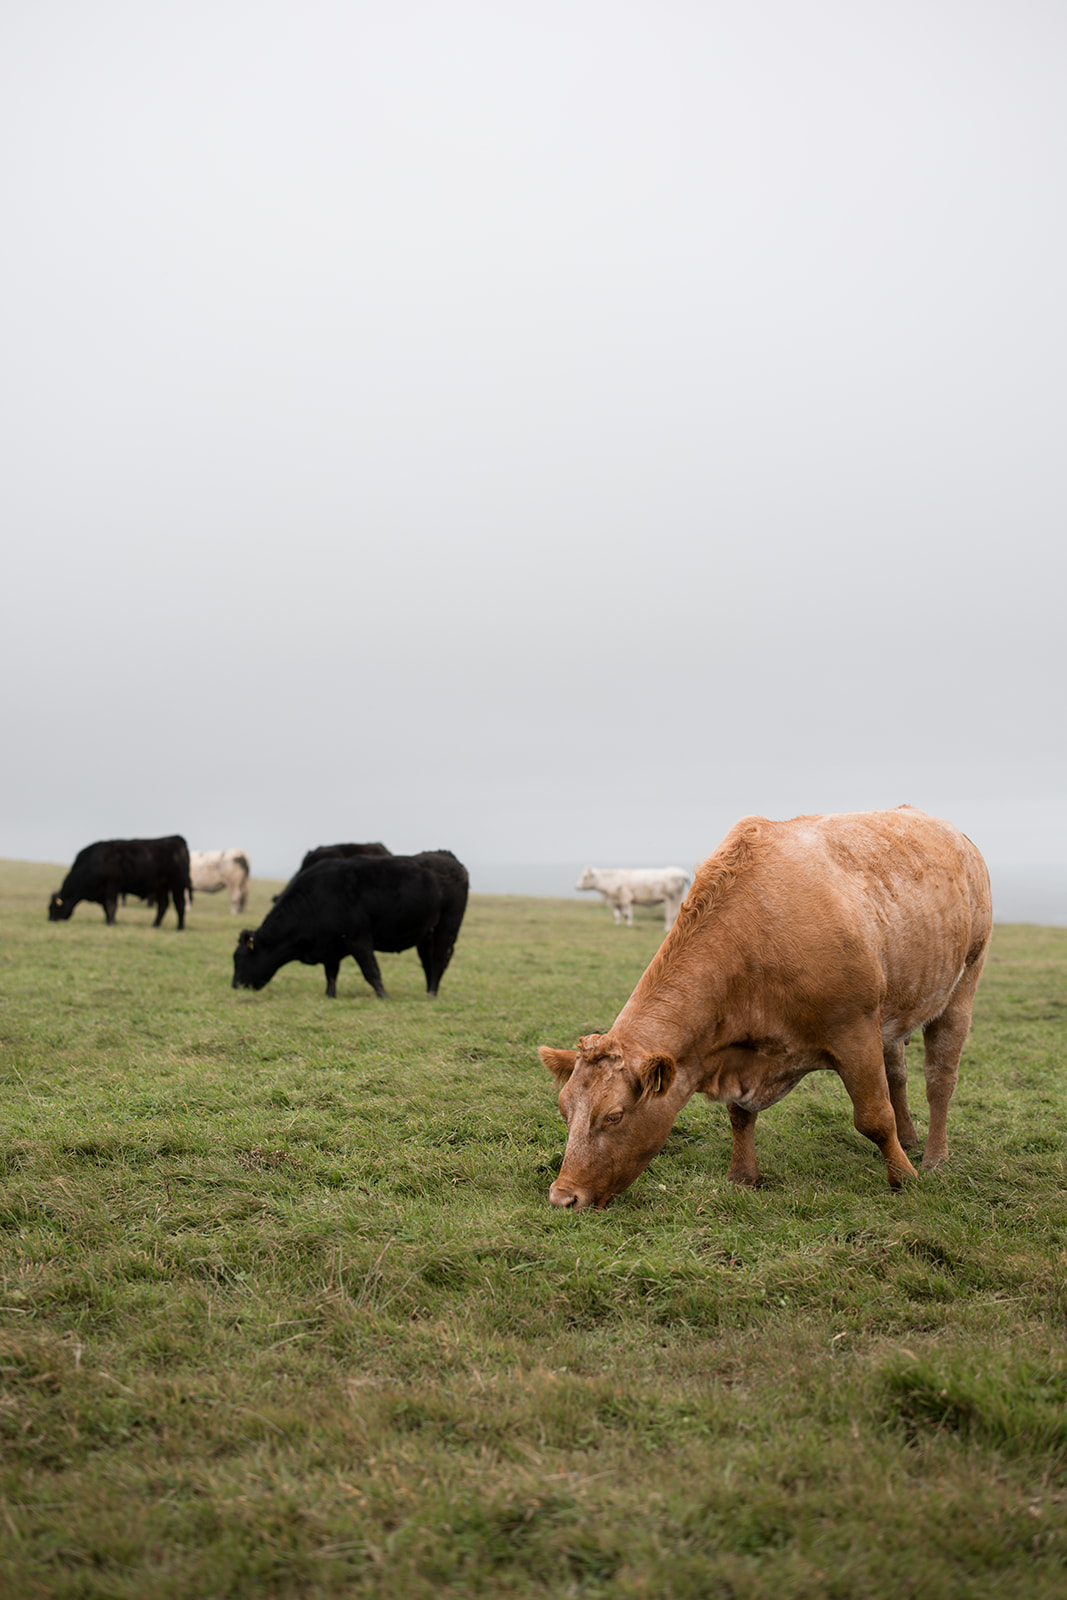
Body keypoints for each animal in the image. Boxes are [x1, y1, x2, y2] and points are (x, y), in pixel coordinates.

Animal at [47, 838, 192, 928]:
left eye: (53, 907)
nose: (50, 920)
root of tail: (177, 839)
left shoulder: (112, 885)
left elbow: (111, 905)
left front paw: (111, 922)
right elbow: (107, 907)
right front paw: (111, 920)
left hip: (178, 885)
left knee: (180, 904)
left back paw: (180, 927)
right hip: (161, 887)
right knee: (163, 905)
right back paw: (155, 925)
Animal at [235, 851, 470, 998]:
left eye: (239, 958)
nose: (234, 985)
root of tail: (448, 857)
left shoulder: (358, 939)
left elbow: (371, 971)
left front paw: (384, 996)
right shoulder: (330, 947)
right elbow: (331, 974)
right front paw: (330, 996)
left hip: (447, 927)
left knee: (438, 959)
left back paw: (431, 993)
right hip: (426, 933)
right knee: (428, 961)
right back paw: (430, 990)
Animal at [543, 806, 991, 1203]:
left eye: (613, 1116)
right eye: (565, 1110)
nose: (563, 1197)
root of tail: (954, 834)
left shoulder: (855, 1031)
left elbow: (875, 1118)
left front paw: (903, 1177)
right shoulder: (741, 1052)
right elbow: (740, 1114)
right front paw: (743, 1176)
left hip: (962, 985)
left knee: (939, 1079)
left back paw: (933, 1156)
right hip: (896, 1011)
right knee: (898, 1074)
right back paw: (910, 1137)